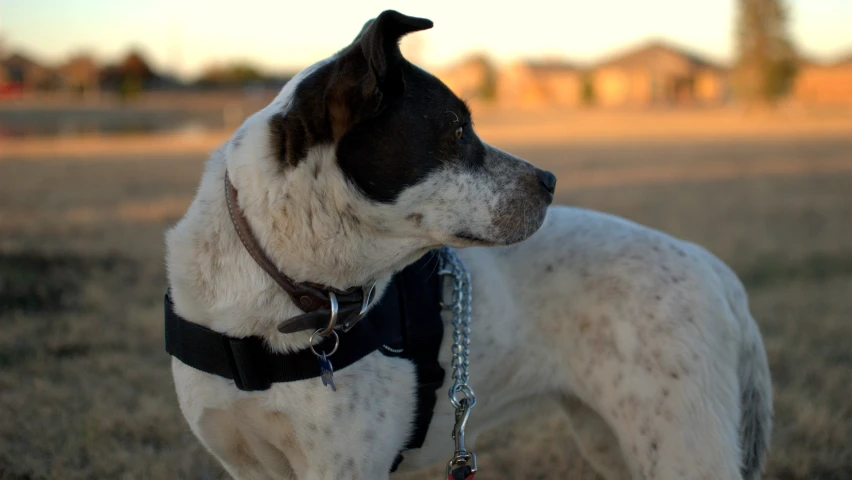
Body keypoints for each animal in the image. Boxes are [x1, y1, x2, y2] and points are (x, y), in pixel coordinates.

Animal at [166, 9, 772, 478]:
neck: (277, 298)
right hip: (614, 439)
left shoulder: (344, 467)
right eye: (458, 130)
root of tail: (714, 269)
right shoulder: (245, 463)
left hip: (679, 449)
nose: (550, 181)